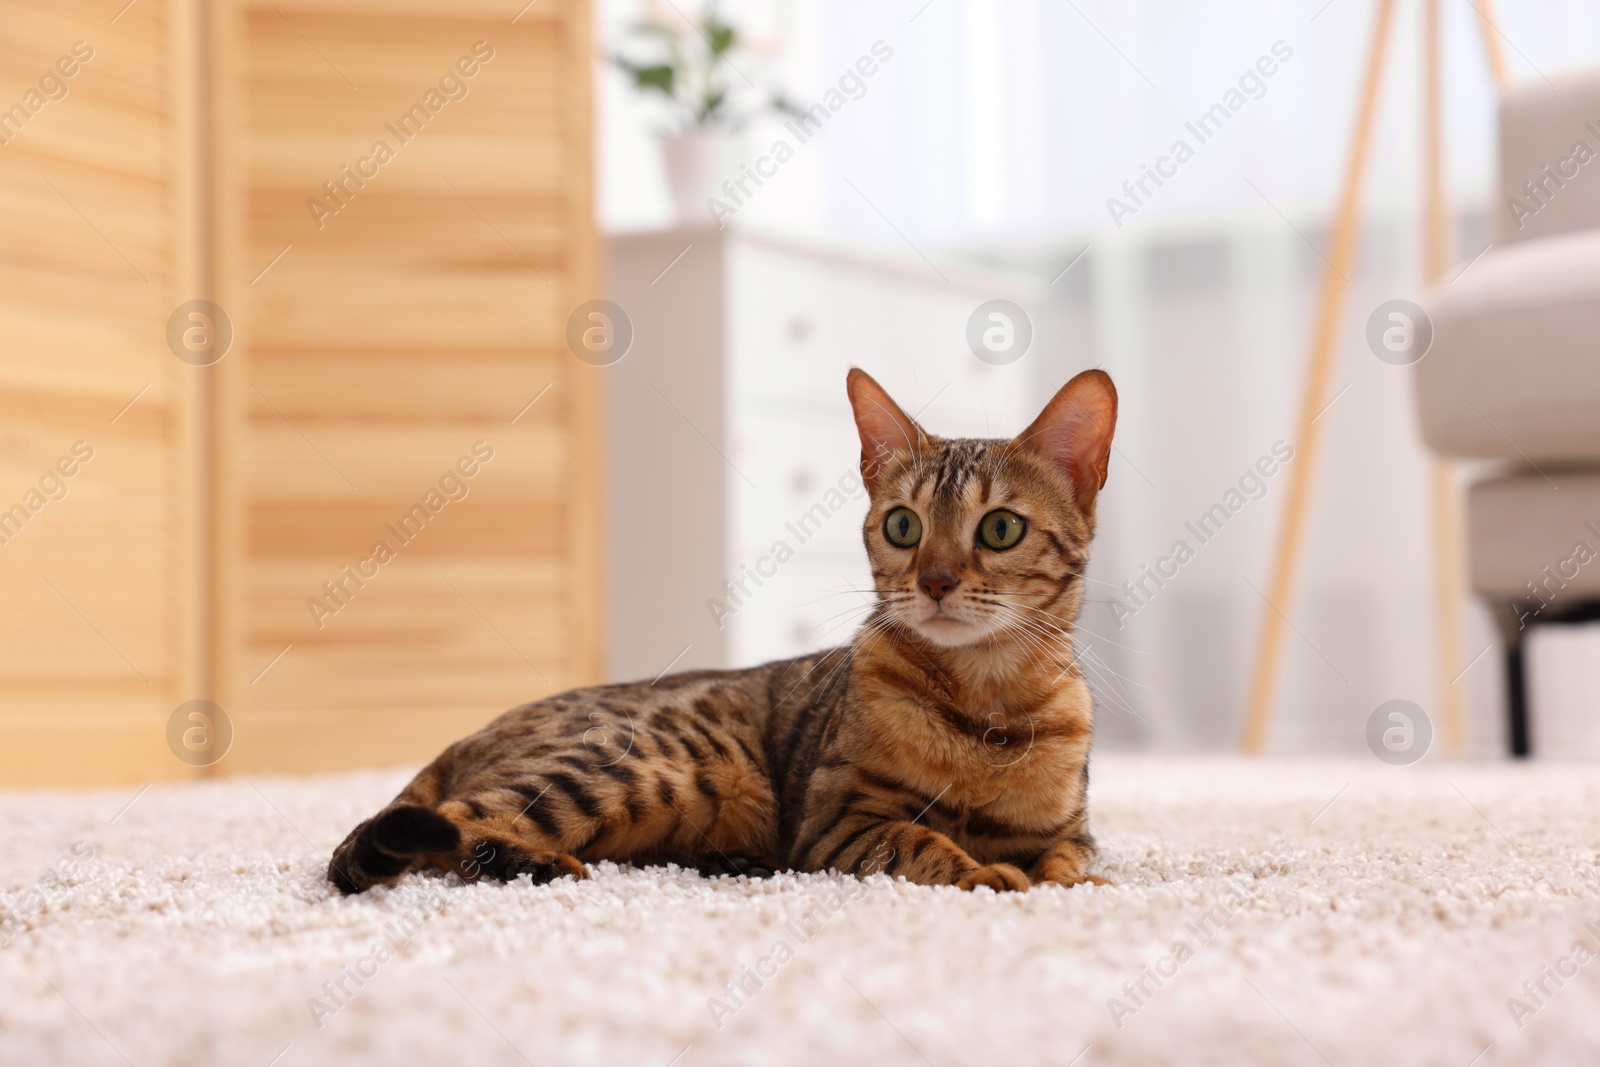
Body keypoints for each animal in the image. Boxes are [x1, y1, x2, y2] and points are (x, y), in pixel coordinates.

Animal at [331, 367, 1120, 895]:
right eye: (904, 526)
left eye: (1000, 528)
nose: (935, 580)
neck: (985, 703)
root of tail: (467, 736)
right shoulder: (840, 823)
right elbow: (926, 843)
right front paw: (993, 876)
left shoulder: (1073, 831)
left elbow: (1066, 861)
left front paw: (1071, 888)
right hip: (651, 762)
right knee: (450, 822)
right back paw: (536, 863)